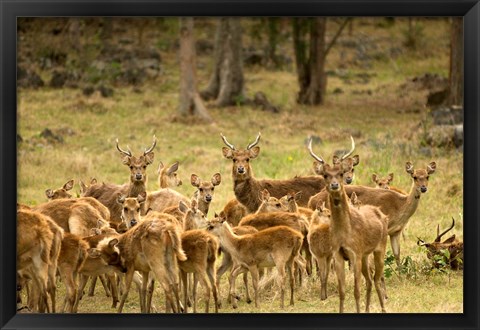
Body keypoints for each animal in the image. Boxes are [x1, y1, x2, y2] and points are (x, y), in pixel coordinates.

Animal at [308, 138, 390, 314]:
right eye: (325, 175)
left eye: (341, 173)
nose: (334, 185)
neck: (345, 233)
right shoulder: (338, 254)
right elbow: (342, 291)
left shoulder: (355, 253)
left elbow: (356, 291)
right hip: (365, 255)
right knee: (370, 280)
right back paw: (367, 310)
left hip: (379, 248)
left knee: (376, 278)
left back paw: (383, 308)